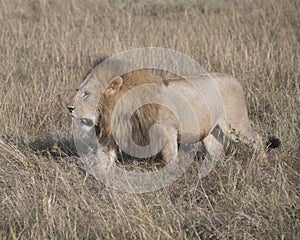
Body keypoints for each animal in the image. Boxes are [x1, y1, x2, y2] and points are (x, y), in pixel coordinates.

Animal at [67, 58, 280, 171]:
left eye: (86, 94)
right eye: (78, 90)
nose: (68, 108)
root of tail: (235, 79)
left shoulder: (167, 131)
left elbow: (170, 159)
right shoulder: (113, 134)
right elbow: (103, 159)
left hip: (235, 124)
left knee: (257, 139)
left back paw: (263, 162)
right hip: (209, 131)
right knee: (216, 150)